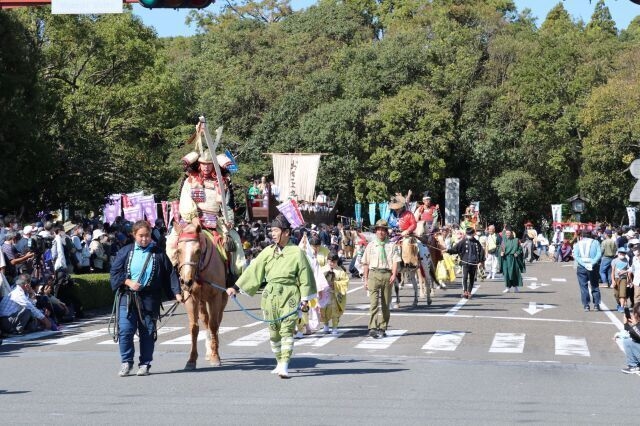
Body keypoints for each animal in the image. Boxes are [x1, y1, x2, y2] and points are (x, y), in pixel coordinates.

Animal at [174, 223, 229, 370]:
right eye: (178, 251)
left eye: (198, 251)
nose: (186, 281)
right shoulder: (191, 297)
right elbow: (194, 327)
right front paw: (192, 359)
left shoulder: (215, 296)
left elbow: (214, 325)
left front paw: (215, 356)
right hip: (201, 301)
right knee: (205, 320)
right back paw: (209, 350)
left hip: (222, 297)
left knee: (217, 320)